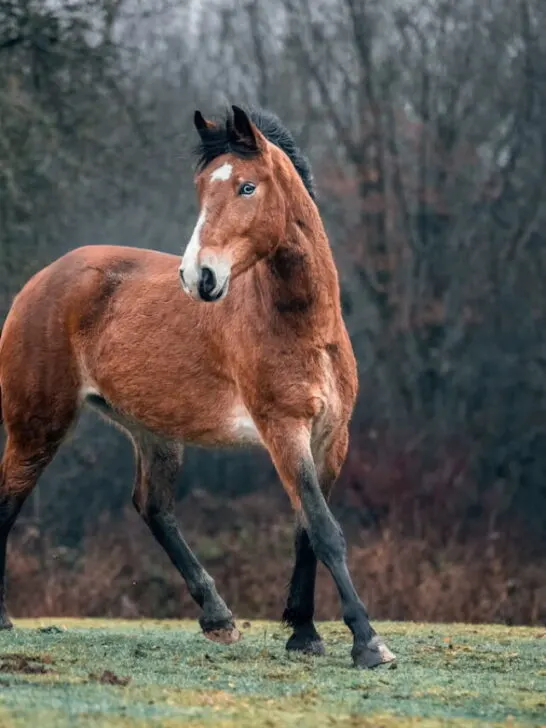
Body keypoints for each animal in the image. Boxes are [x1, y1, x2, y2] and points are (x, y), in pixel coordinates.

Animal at [0, 105, 395, 668]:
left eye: (247, 187)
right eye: (202, 188)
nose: (198, 277)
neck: (305, 325)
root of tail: (40, 282)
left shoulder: (330, 438)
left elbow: (307, 531)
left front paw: (304, 633)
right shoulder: (283, 430)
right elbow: (324, 529)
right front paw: (367, 641)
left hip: (153, 432)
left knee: (154, 508)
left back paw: (218, 617)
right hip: (38, 426)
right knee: (9, 500)